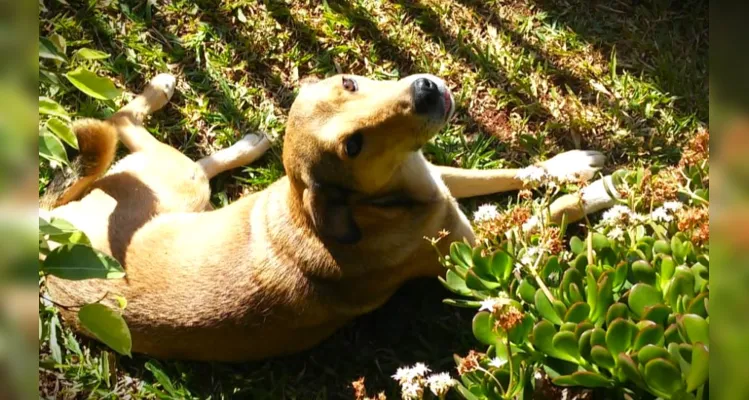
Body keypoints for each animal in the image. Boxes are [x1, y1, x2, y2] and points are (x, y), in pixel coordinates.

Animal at [42, 73, 612, 360]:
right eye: (352, 145)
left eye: (349, 82)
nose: (425, 90)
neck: (375, 204)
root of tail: (49, 241)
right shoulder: (477, 260)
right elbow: (547, 212)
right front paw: (602, 191)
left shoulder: (436, 177)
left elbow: (515, 173)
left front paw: (569, 164)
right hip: (173, 178)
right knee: (120, 120)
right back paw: (164, 93)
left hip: (186, 192)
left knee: (172, 149)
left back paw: (248, 142)